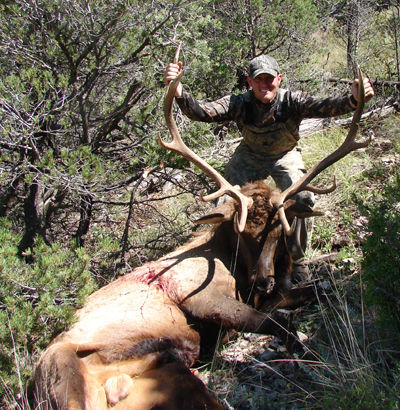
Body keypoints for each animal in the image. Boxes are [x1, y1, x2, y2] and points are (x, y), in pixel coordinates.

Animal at [32, 62, 368, 408]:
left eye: (278, 229)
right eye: (240, 231)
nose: (264, 280)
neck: (235, 268)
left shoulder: (263, 295)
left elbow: (317, 290)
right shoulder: (198, 295)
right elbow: (279, 323)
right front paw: (304, 352)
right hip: (65, 369)